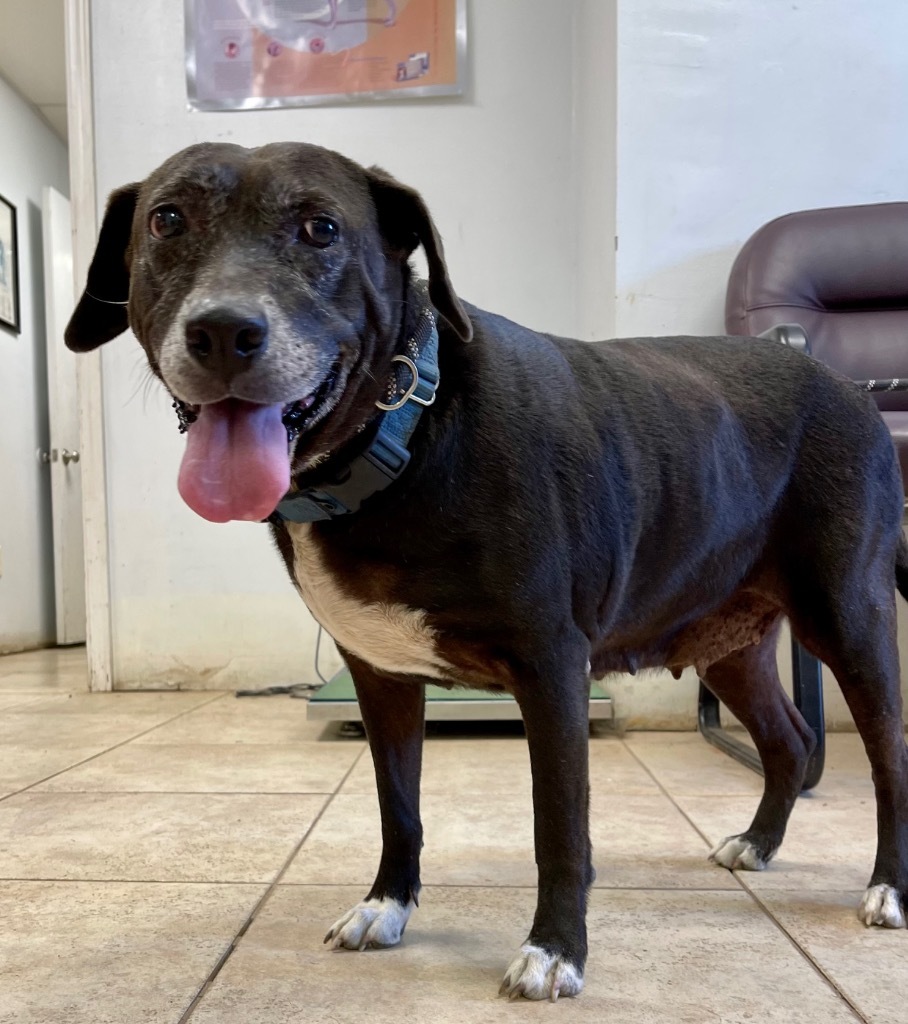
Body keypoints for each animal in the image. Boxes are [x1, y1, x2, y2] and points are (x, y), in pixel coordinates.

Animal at [65, 144, 908, 999]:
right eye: (167, 220)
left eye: (320, 228)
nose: (224, 330)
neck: (407, 431)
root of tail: (851, 389)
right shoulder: (380, 679)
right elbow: (397, 806)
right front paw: (387, 906)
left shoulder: (553, 669)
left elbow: (559, 825)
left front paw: (556, 949)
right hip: (727, 644)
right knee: (791, 742)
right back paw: (759, 842)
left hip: (850, 619)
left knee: (888, 761)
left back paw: (886, 888)